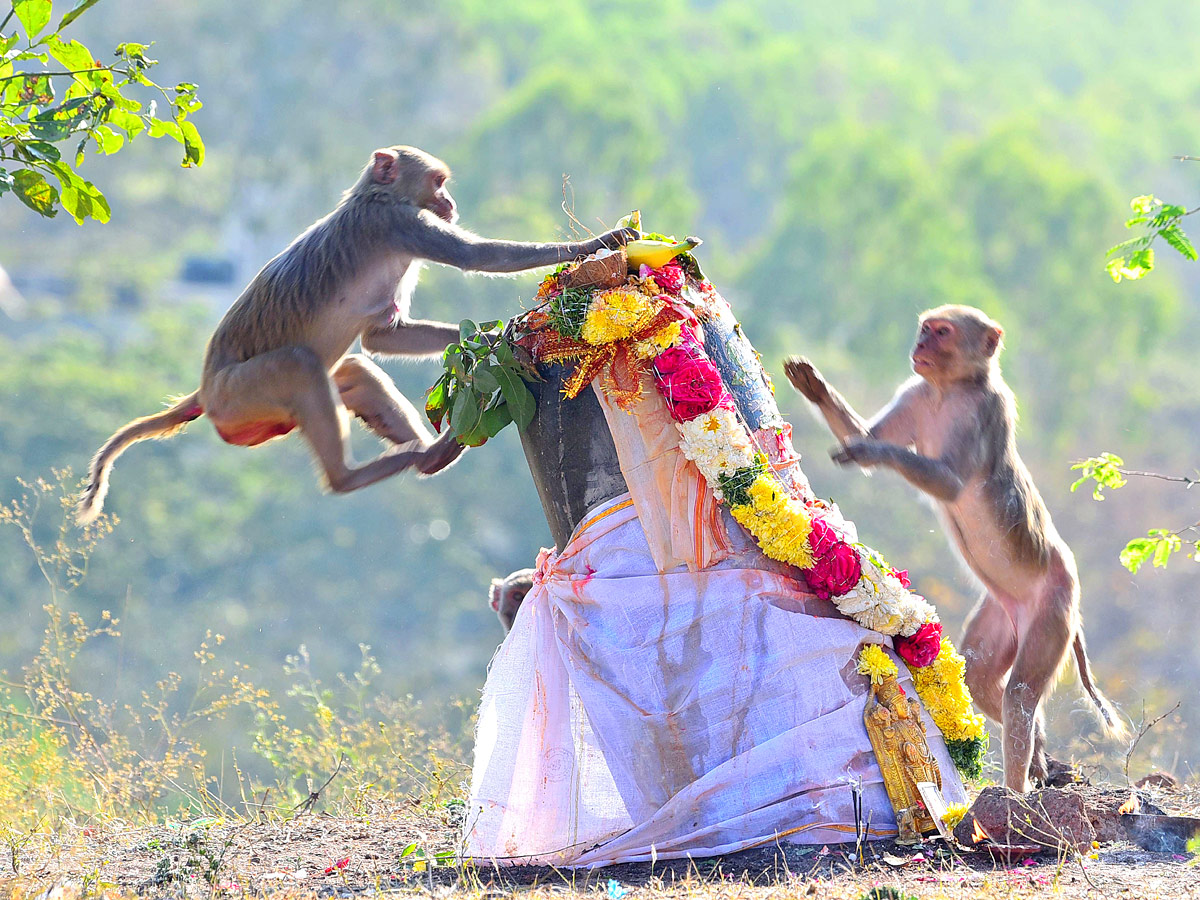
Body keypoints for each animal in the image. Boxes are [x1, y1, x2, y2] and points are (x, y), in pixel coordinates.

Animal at [77, 145, 638, 525]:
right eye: (437, 182)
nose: (450, 201)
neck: (376, 193)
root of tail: (204, 390)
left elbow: (381, 338)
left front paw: (496, 341)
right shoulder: (400, 224)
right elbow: (479, 257)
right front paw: (600, 242)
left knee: (350, 370)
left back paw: (428, 456)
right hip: (240, 395)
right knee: (300, 366)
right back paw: (352, 476)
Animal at [782, 307, 1128, 792]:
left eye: (941, 333)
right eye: (926, 328)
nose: (920, 345)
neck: (951, 389)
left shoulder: (985, 411)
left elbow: (949, 483)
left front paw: (872, 450)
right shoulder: (915, 393)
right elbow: (864, 432)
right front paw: (813, 384)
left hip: (1052, 611)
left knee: (1020, 693)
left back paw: (1016, 791)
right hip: (1002, 612)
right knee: (981, 676)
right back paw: (1039, 750)